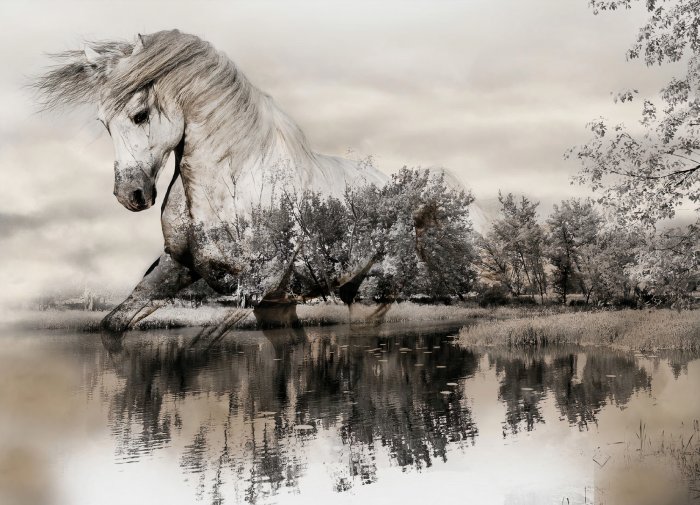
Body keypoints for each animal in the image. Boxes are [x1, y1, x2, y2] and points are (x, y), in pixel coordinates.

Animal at [36, 29, 387, 331]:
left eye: (140, 115)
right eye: (103, 122)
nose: (130, 194)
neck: (233, 183)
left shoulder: (257, 288)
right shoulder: (178, 267)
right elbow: (113, 324)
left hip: (368, 297)